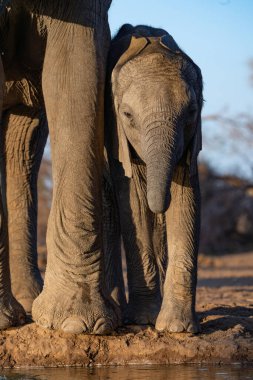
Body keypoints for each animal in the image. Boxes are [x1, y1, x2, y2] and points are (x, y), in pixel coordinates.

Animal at [105, 23, 204, 332]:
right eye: (127, 115)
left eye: (192, 112)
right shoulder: (117, 135)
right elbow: (133, 201)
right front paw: (143, 319)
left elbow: (187, 198)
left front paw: (177, 328)